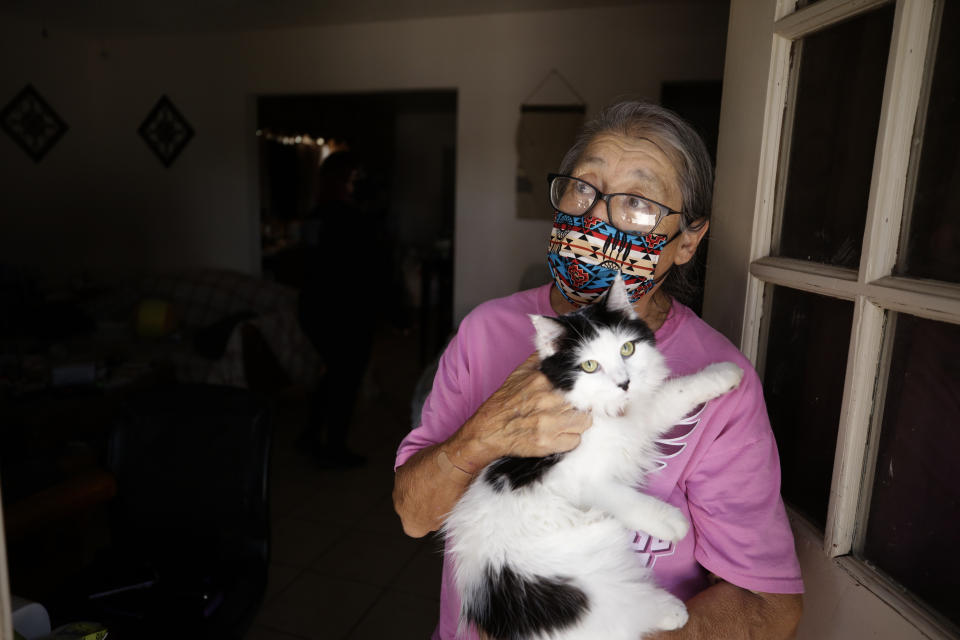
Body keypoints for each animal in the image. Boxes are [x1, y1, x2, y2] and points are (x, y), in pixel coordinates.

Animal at [446, 280, 748, 640]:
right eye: (590, 366)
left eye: (627, 349)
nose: (624, 383)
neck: (607, 412)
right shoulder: (580, 480)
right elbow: (626, 499)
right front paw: (671, 521)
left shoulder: (641, 416)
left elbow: (679, 391)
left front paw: (726, 373)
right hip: (579, 578)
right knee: (618, 612)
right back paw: (672, 610)